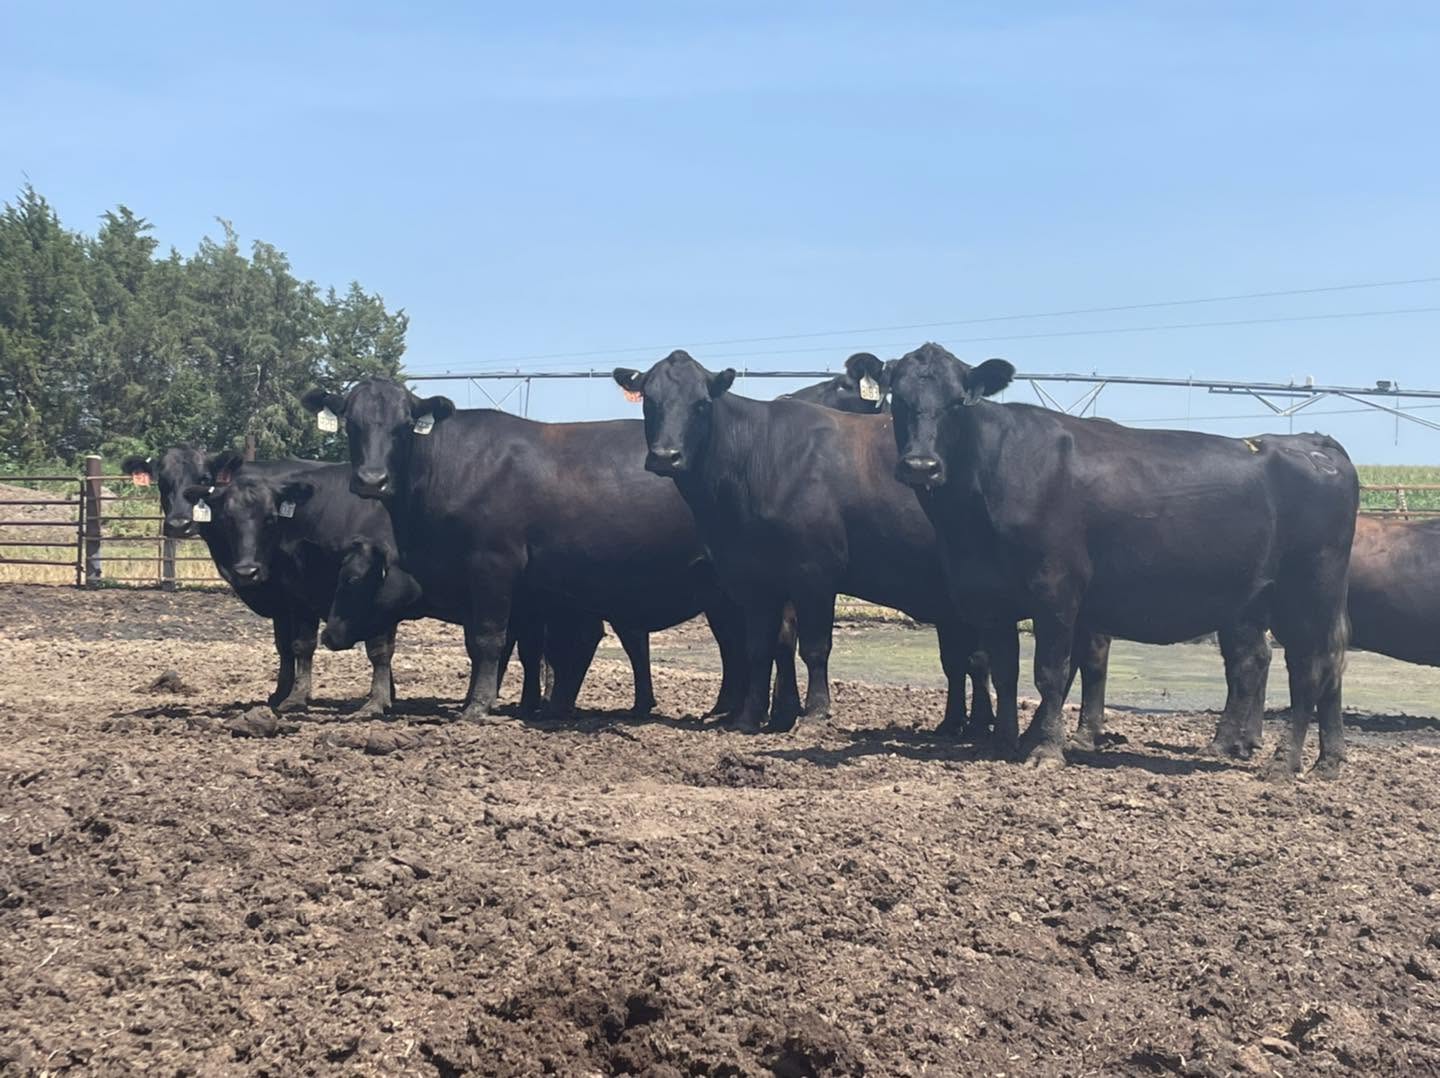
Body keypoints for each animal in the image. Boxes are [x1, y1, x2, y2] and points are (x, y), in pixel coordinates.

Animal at [299, 379, 785, 724]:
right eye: (351, 422)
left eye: (403, 426)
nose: (371, 480)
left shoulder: (493, 564)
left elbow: (489, 639)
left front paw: (477, 707)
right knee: (736, 644)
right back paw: (728, 710)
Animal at [609, 350, 1113, 737]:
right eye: (650, 400)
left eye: (700, 404)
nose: (667, 456)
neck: (757, 459)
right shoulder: (752, 578)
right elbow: (759, 647)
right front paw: (750, 718)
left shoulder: (814, 571)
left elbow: (814, 647)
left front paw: (813, 716)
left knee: (1089, 654)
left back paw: (1083, 730)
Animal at [886, 341, 1356, 776]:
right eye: (898, 398)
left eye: (957, 401)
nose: (922, 465)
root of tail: (1316, 444)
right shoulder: (989, 596)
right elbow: (1005, 671)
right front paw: (1003, 743)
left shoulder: (1056, 588)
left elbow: (1050, 672)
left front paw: (1046, 750)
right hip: (1266, 600)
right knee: (1296, 663)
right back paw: (1319, 758)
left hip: (1309, 592)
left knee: (1309, 667)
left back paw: (1285, 761)